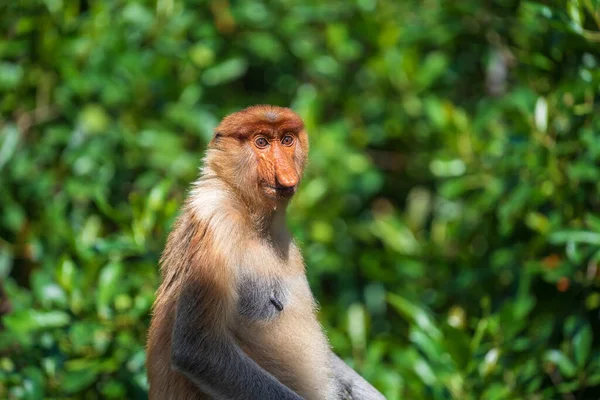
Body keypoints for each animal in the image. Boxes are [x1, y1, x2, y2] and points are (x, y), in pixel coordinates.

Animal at [148, 104, 386, 398]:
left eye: (287, 140)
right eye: (261, 142)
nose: (285, 172)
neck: (249, 211)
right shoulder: (218, 222)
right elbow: (198, 349)